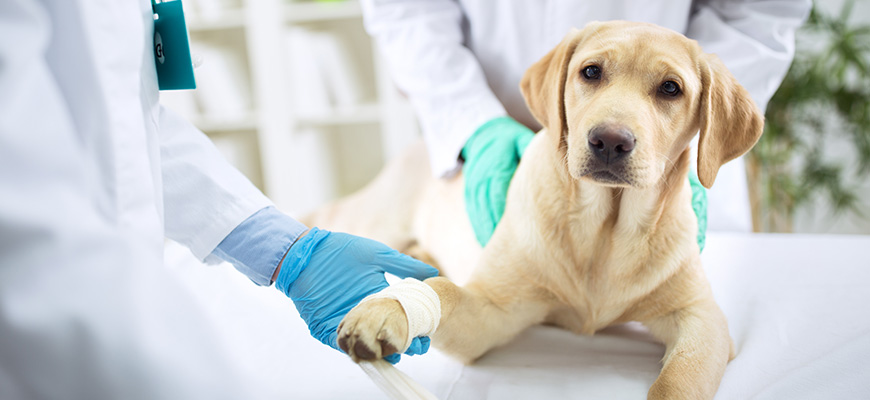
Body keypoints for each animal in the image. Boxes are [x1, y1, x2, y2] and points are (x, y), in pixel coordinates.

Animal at [312, 21, 764, 400]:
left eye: (671, 88)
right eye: (591, 72)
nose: (609, 141)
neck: (605, 230)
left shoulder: (701, 318)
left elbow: (679, 382)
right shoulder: (491, 312)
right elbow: (443, 290)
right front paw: (388, 309)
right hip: (374, 219)